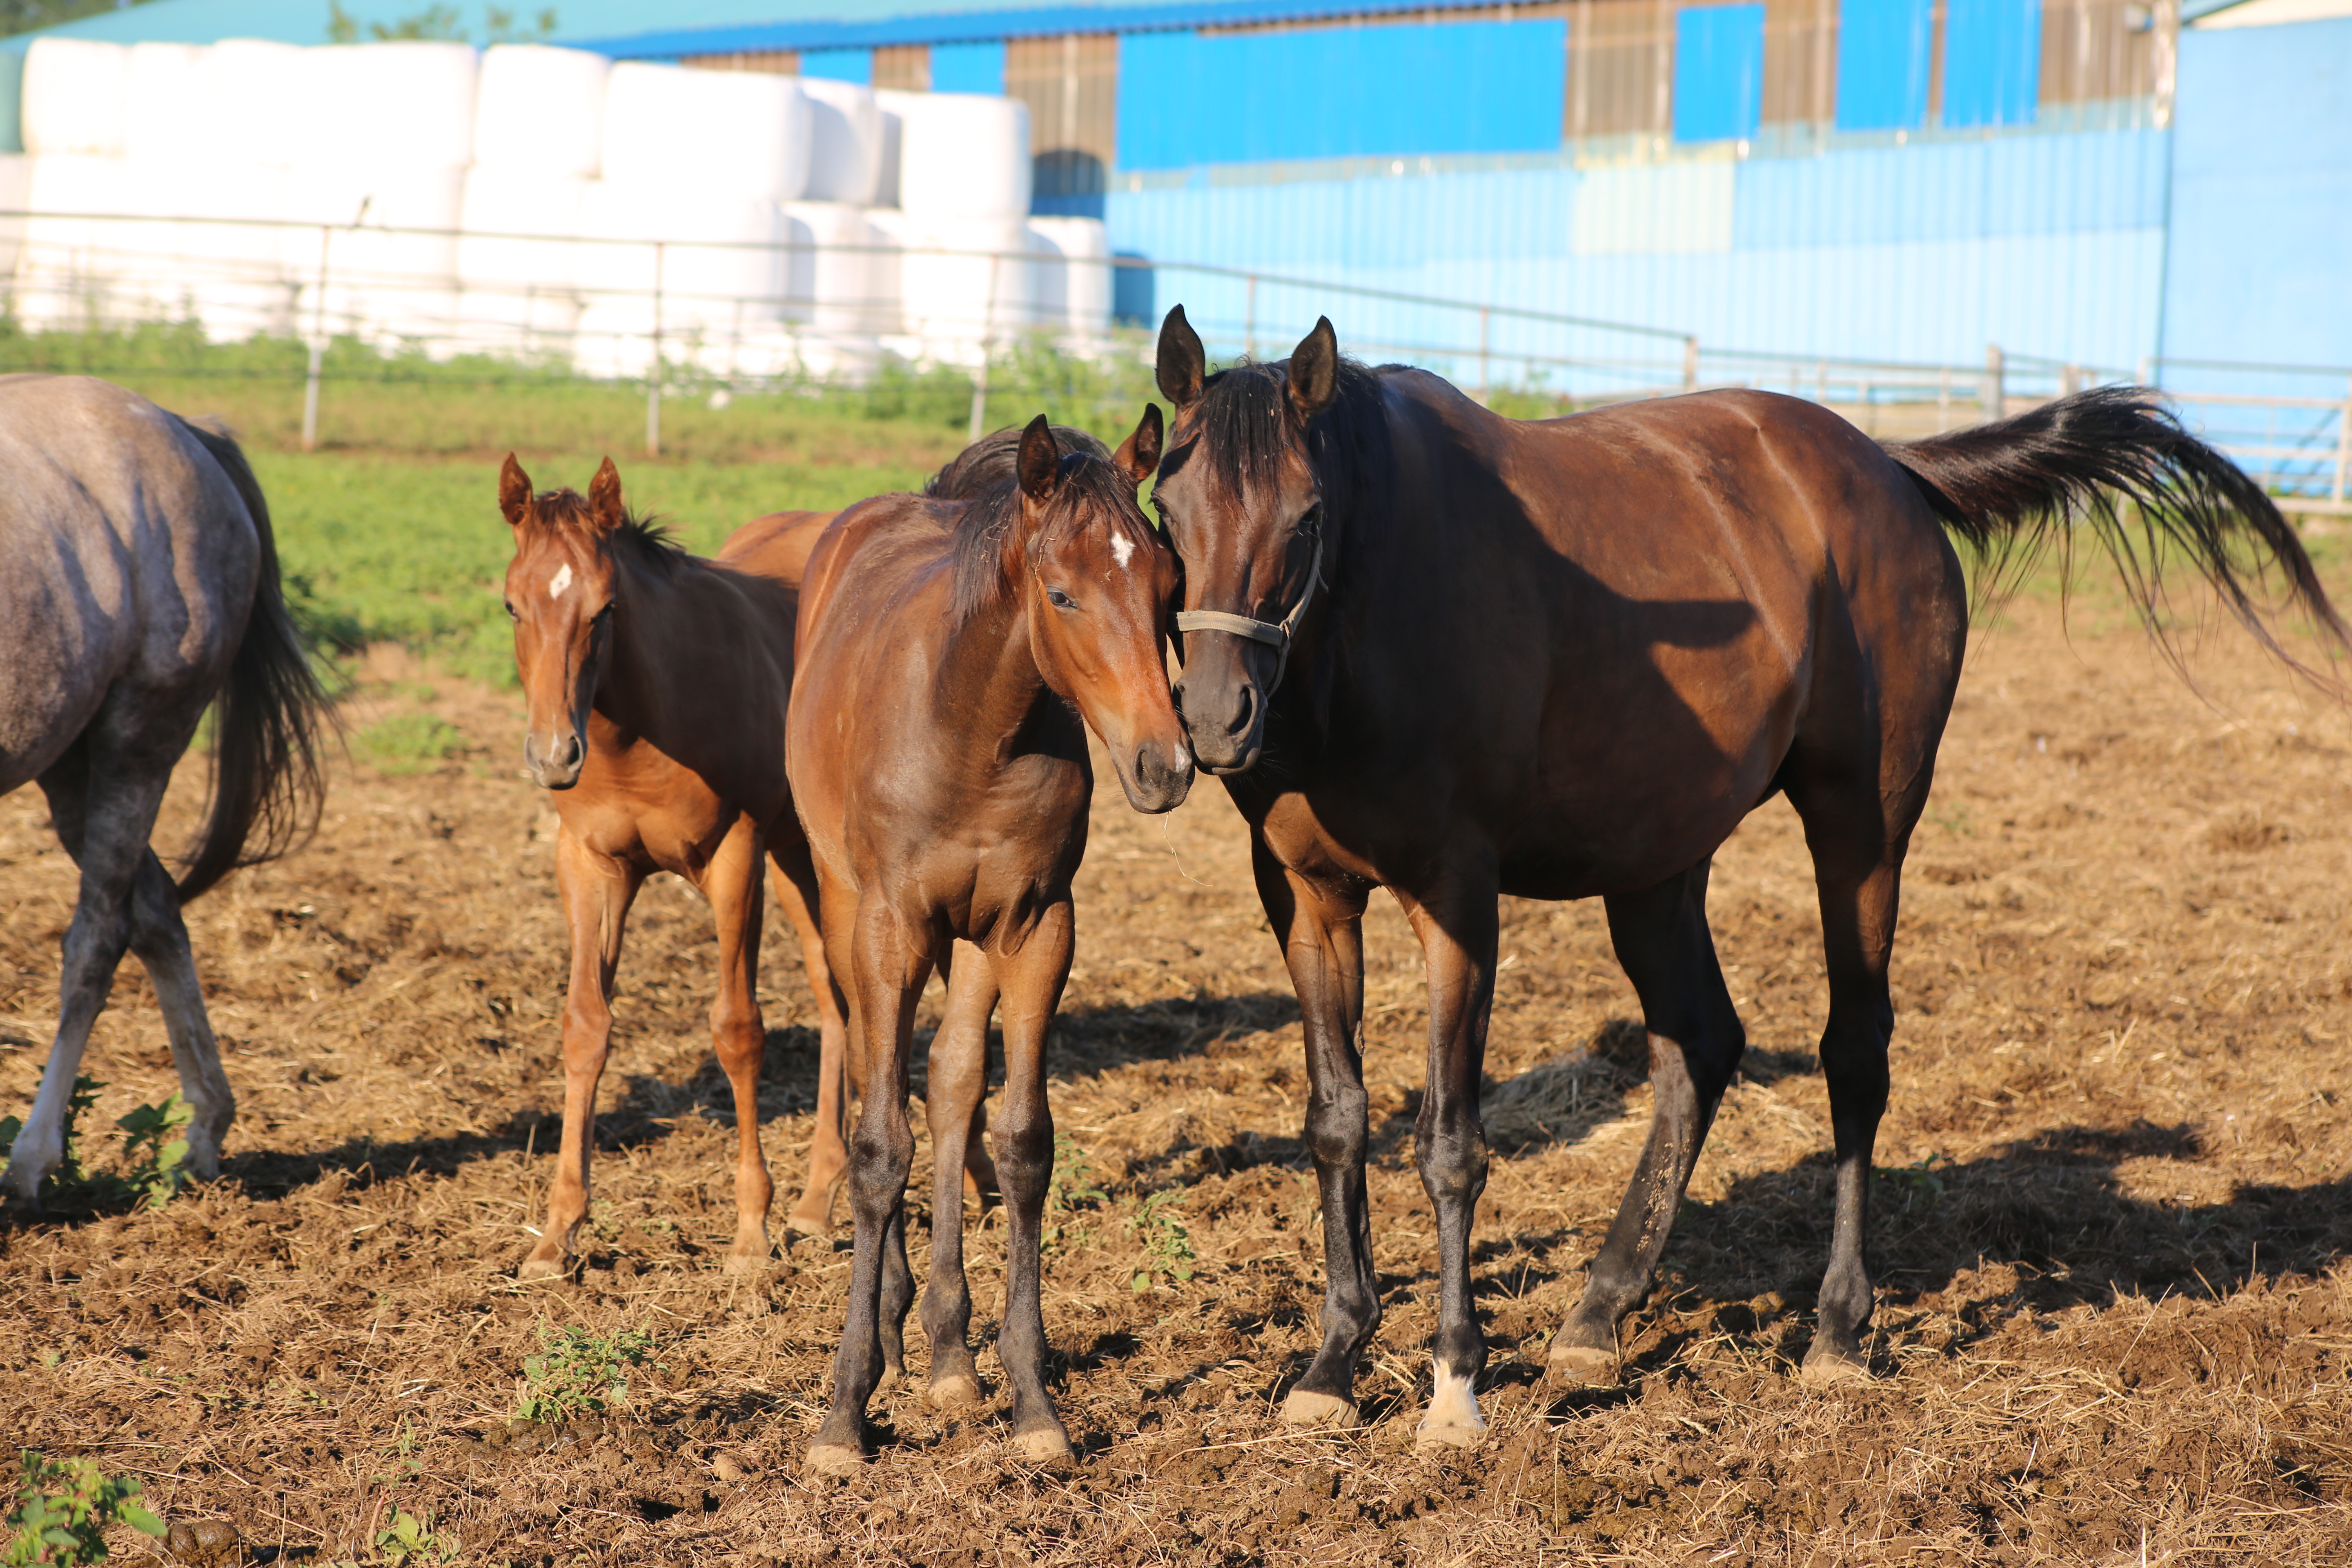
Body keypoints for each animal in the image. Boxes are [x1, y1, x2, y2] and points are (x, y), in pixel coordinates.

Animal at [0, 374, 334, 1213]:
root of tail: (185, 428)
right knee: (155, 911)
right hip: (69, 761)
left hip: (140, 738)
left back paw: (32, 1161)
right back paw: (203, 1136)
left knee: (99, 937)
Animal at [795, 411, 1195, 1476]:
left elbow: (1017, 1139)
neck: (972, 726)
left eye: (1168, 583)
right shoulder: (890, 924)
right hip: (845, 906)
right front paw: (843, 1410)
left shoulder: (1037, 925)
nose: (1166, 764)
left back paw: (943, 1349)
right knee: (876, 1068)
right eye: (1062, 592)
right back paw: (894, 1332)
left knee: (949, 1078)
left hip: (972, 939)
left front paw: (1031, 1399)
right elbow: (879, 1146)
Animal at [1147, 303, 2342, 1448]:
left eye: (1305, 517)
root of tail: (1885, 467)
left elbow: (1448, 1143)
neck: (1371, 613)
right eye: (1166, 509)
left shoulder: (1455, 895)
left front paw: (1455, 1387)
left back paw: (1835, 1329)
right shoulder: (1304, 894)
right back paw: (1598, 1314)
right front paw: (1330, 1364)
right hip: (1654, 863)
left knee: (1853, 1052)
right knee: (1700, 1047)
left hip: (1862, 825)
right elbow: (1337, 1120)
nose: (1212, 718)